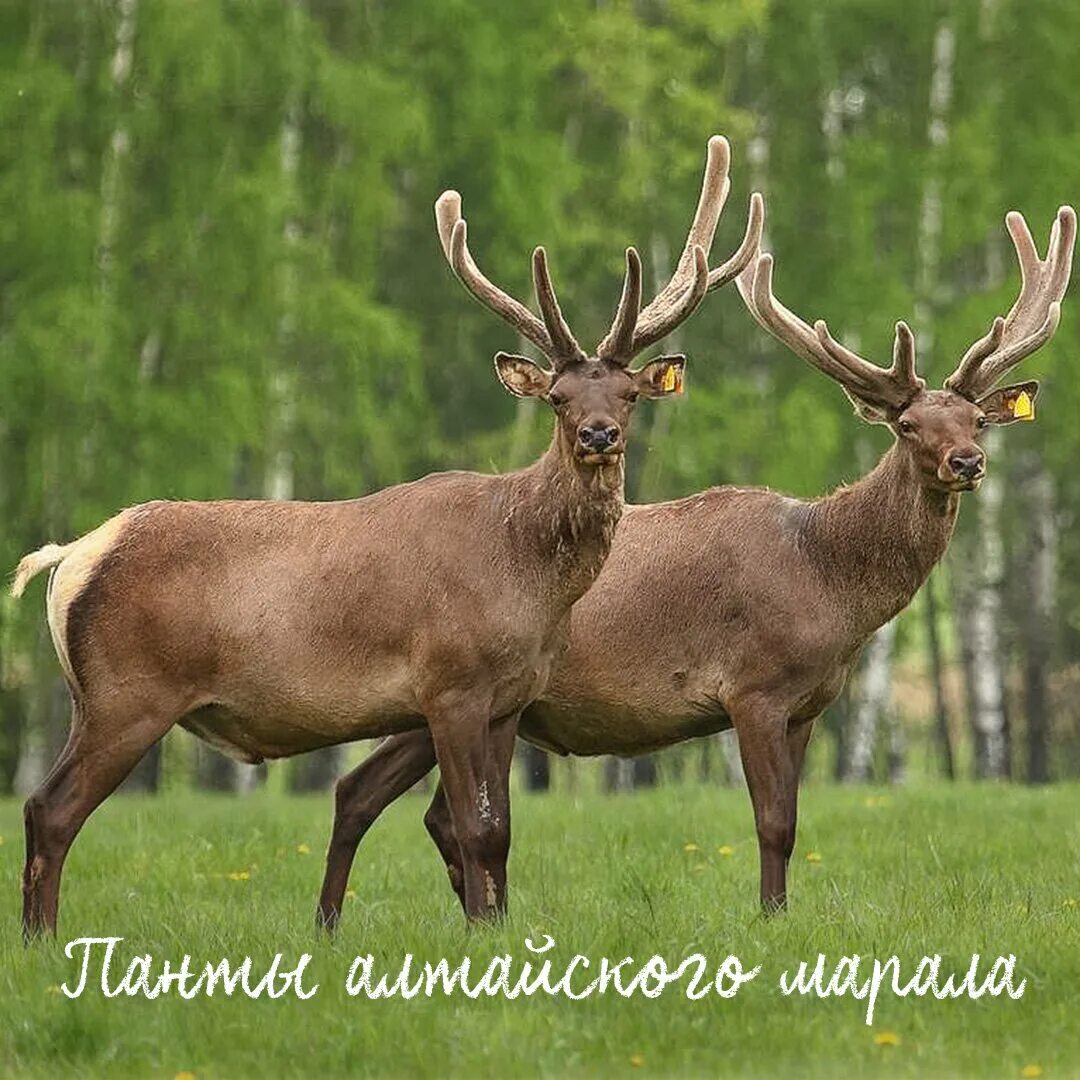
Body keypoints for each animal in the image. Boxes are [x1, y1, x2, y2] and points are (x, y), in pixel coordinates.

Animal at [11, 135, 763, 938]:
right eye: (559, 398)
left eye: (627, 395)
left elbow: (501, 833)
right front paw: (481, 935)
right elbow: (473, 827)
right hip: (129, 691)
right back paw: (41, 942)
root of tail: (71, 558)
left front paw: (495, 932)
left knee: (42, 804)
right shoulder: (450, 683)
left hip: (93, 698)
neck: (525, 578)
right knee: (50, 809)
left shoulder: (510, 699)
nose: (598, 435)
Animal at [321, 199, 1074, 916]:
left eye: (977, 421)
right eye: (909, 425)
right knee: (396, 799)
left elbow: (792, 818)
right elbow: (774, 823)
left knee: (376, 794)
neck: (827, 584)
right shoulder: (754, 686)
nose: (967, 461)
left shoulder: (809, 705)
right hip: (448, 682)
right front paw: (771, 918)